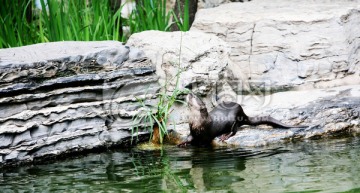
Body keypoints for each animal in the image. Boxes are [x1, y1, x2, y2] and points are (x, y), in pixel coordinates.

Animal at [177, 92, 306, 147]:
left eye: (194, 97)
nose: (189, 93)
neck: (197, 122)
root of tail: (243, 112)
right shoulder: (192, 130)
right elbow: (189, 137)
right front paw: (182, 143)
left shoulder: (205, 133)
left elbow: (203, 141)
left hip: (235, 118)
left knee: (234, 130)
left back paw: (225, 136)